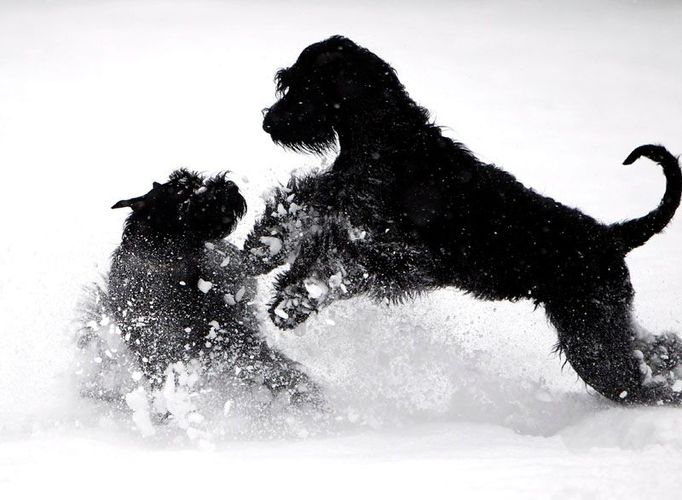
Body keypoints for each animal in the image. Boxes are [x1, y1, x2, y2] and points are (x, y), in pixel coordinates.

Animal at [246, 35, 680, 404]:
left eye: (302, 86)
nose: (268, 123)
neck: (391, 141)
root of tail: (612, 236)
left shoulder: (395, 256)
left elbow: (332, 264)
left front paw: (290, 303)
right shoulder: (337, 200)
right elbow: (301, 210)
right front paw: (263, 249)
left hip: (591, 335)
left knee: (634, 379)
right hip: (606, 324)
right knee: (657, 350)